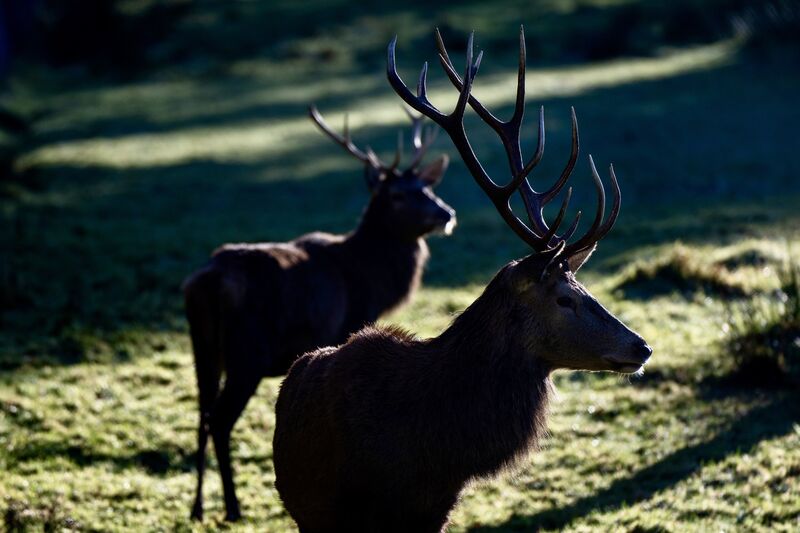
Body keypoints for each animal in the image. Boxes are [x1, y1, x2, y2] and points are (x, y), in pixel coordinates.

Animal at [183, 108, 456, 522]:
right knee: (220, 418)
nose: (445, 213)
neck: (371, 280)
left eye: (426, 187)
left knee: (201, 413)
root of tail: (206, 284)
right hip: (247, 354)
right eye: (396, 195)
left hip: (204, 348)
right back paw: (232, 507)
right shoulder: (343, 330)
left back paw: (197, 508)